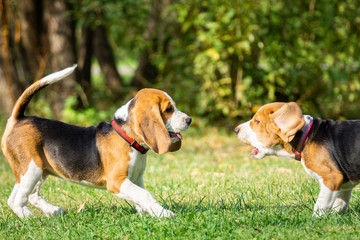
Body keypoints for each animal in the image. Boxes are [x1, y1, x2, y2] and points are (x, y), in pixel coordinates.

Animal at [1, 65, 193, 218]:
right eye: (168, 109)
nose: (189, 120)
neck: (128, 138)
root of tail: (19, 118)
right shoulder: (117, 181)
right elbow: (144, 195)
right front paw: (163, 213)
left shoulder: (136, 178)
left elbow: (141, 196)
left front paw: (148, 214)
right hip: (31, 168)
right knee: (18, 200)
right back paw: (30, 218)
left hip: (36, 171)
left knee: (25, 196)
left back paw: (53, 211)